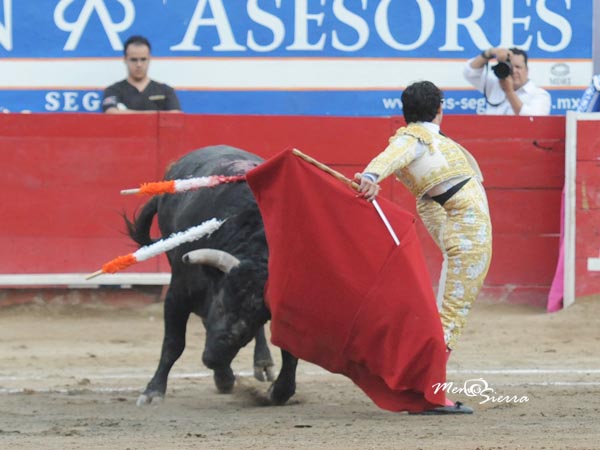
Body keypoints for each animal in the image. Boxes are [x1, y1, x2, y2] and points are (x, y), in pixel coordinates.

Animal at [128, 146, 300, 406]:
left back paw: (257, 364)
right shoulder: (178, 294)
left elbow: (290, 349)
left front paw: (279, 391)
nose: (212, 359)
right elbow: (174, 344)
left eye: (255, 320)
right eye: (220, 306)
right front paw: (152, 392)